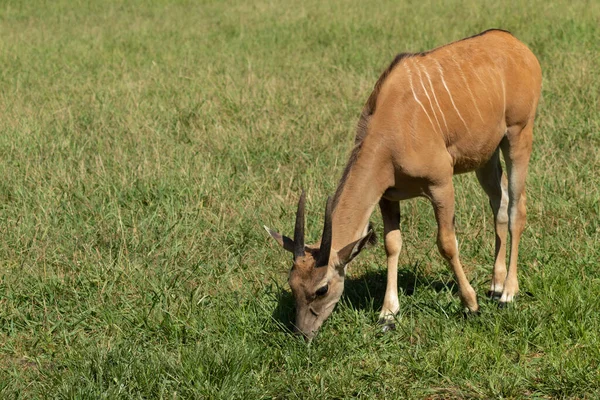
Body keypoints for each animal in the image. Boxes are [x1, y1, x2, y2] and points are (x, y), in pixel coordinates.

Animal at [264, 29, 540, 340]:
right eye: (292, 283)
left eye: (321, 288)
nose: (301, 334)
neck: (391, 130)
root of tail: (517, 45)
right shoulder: (388, 196)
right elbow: (391, 243)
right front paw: (388, 314)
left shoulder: (441, 183)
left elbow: (447, 243)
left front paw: (470, 304)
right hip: (486, 155)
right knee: (500, 203)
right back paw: (495, 285)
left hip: (518, 134)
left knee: (517, 207)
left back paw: (508, 293)